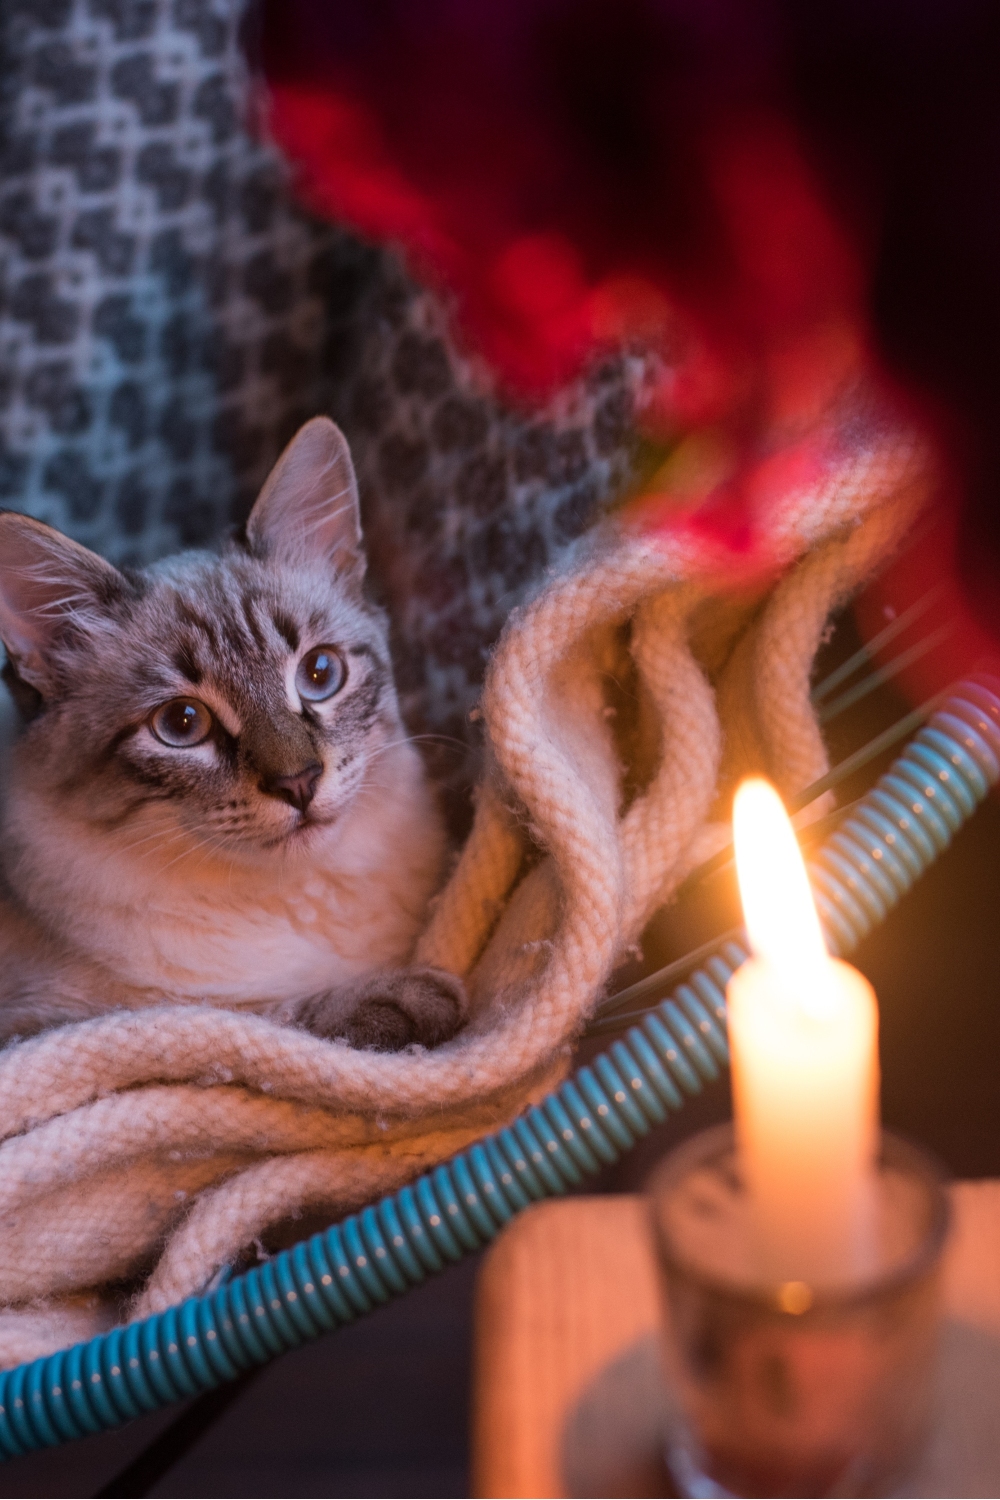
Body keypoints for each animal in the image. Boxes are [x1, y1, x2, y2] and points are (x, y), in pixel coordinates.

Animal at [0, 417, 464, 1056]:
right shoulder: (58, 1026)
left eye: (319, 674)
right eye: (182, 724)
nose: (299, 783)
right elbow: (247, 1016)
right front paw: (409, 998)